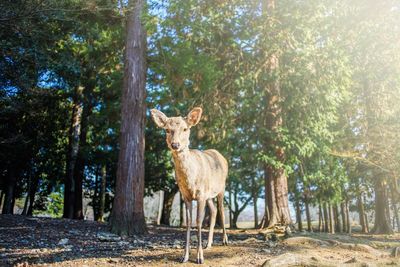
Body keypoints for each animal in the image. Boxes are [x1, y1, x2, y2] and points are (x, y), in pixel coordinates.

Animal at [150, 107, 228, 266]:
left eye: (185, 128)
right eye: (167, 129)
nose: (175, 145)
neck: (191, 180)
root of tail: (222, 157)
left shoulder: (201, 195)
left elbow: (198, 222)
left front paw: (199, 257)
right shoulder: (186, 195)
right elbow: (188, 223)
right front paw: (184, 256)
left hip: (221, 187)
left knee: (222, 211)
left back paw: (224, 240)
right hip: (209, 195)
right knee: (213, 211)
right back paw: (208, 244)